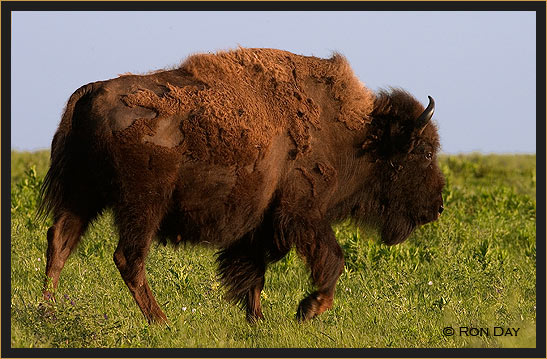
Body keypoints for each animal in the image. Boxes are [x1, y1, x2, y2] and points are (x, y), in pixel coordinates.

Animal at [40, 47, 448, 324]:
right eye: (425, 151)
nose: (438, 206)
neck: (356, 135)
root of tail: (92, 92)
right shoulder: (303, 213)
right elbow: (332, 260)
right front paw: (308, 309)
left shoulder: (260, 226)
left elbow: (252, 274)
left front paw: (258, 322)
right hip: (142, 204)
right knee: (128, 257)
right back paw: (162, 322)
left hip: (83, 194)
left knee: (60, 241)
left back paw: (47, 310)